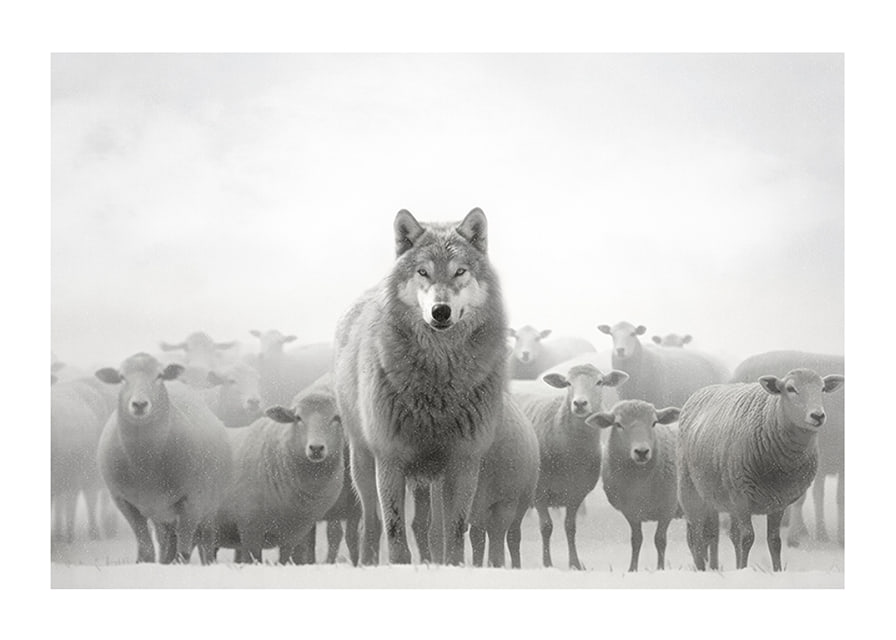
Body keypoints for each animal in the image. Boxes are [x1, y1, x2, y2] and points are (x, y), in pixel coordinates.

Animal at [333, 207, 508, 565]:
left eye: (459, 272)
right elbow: (395, 532)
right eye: (423, 272)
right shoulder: (390, 459)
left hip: (433, 479)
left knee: (432, 529)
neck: (438, 382)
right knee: (370, 524)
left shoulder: (464, 461)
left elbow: (454, 531)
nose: (440, 311)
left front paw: (451, 567)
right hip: (362, 463)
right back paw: (367, 563)